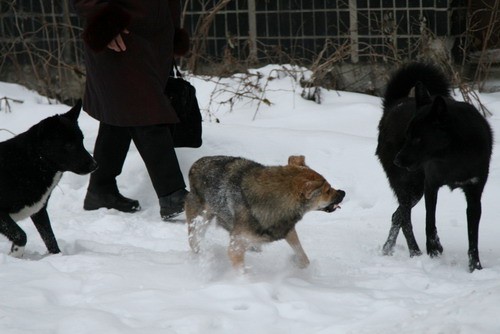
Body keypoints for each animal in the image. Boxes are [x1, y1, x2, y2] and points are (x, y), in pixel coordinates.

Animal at [0, 102, 97, 258]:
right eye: (69, 145)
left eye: (81, 141)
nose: (95, 165)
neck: (31, 161)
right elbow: (21, 235)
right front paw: (15, 255)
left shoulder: (39, 212)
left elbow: (50, 238)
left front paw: (57, 257)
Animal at [186, 157, 346, 272]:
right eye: (327, 190)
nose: (343, 192)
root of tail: (195, 164)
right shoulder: (235, 247)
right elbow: (242, 270)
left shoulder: (287, 229)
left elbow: (303, 257)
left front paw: (299, 268)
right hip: (199, 221)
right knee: (194, 241)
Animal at [376, 62, 490, 272]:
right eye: (407, 135)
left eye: (418, 138)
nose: (397, 161)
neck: (453, 155)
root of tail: (393, 105)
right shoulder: (431, 185)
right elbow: (430, 222)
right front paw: (434, 248)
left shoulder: (474, 192)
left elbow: (473, 237)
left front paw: (475, 268)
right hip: (411, 187)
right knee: (405, 218)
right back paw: (415, 252)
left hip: (415, 190)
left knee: (397, 215)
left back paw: (389, 249)